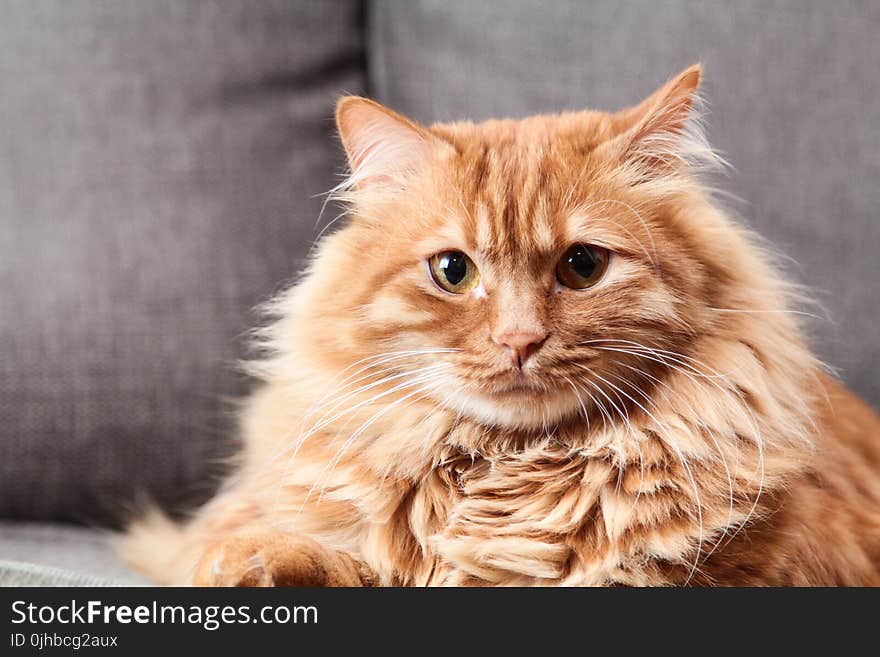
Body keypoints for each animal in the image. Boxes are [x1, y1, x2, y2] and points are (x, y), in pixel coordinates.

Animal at [122, 66, 880, 588]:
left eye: (583, 265)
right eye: (453, 271)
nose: (520, 340)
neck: (512, 470)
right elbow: (265, 548)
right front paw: (263, 564)